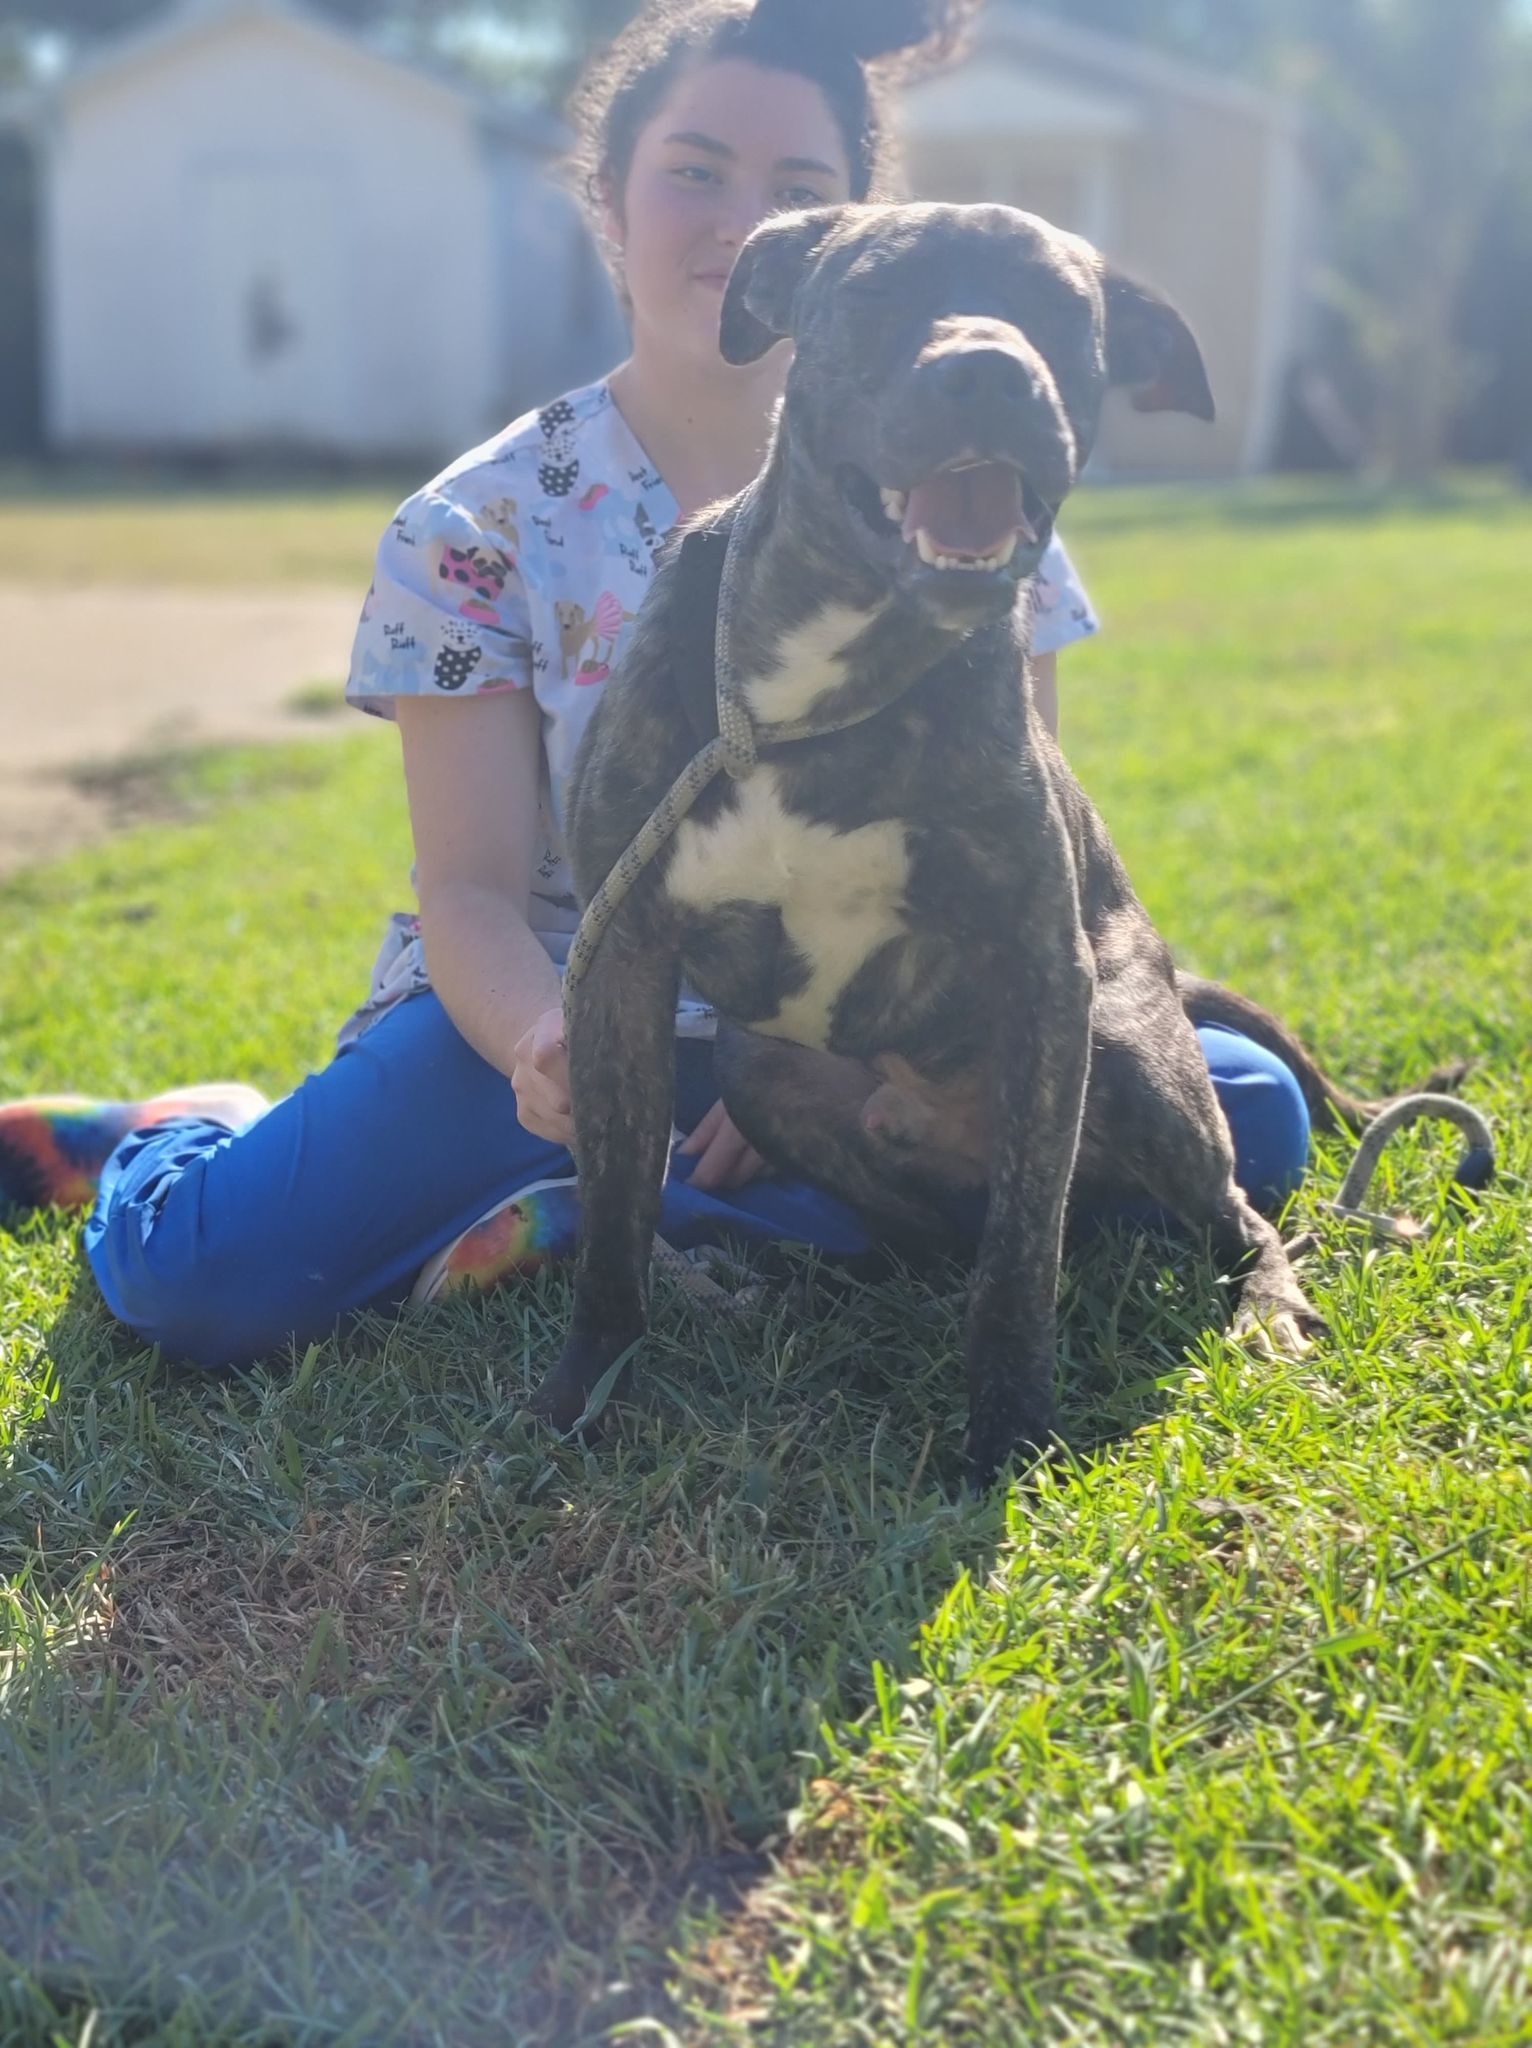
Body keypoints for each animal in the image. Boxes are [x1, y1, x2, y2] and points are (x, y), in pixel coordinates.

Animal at [536, 199, 1368, 1490]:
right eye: (878, 294)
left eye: (1063, 317)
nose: (988, 371)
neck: (831, 685)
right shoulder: (619, 960)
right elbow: (614, 1208)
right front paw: (586, 1383)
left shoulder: (1039, 973)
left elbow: (1019, 1263)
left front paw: (1008, 1430)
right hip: (765, 1072)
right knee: (930, 1236)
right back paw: (818, 1282)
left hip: (1129, 1058)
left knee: (1222, 1214)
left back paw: (1263, 1304)